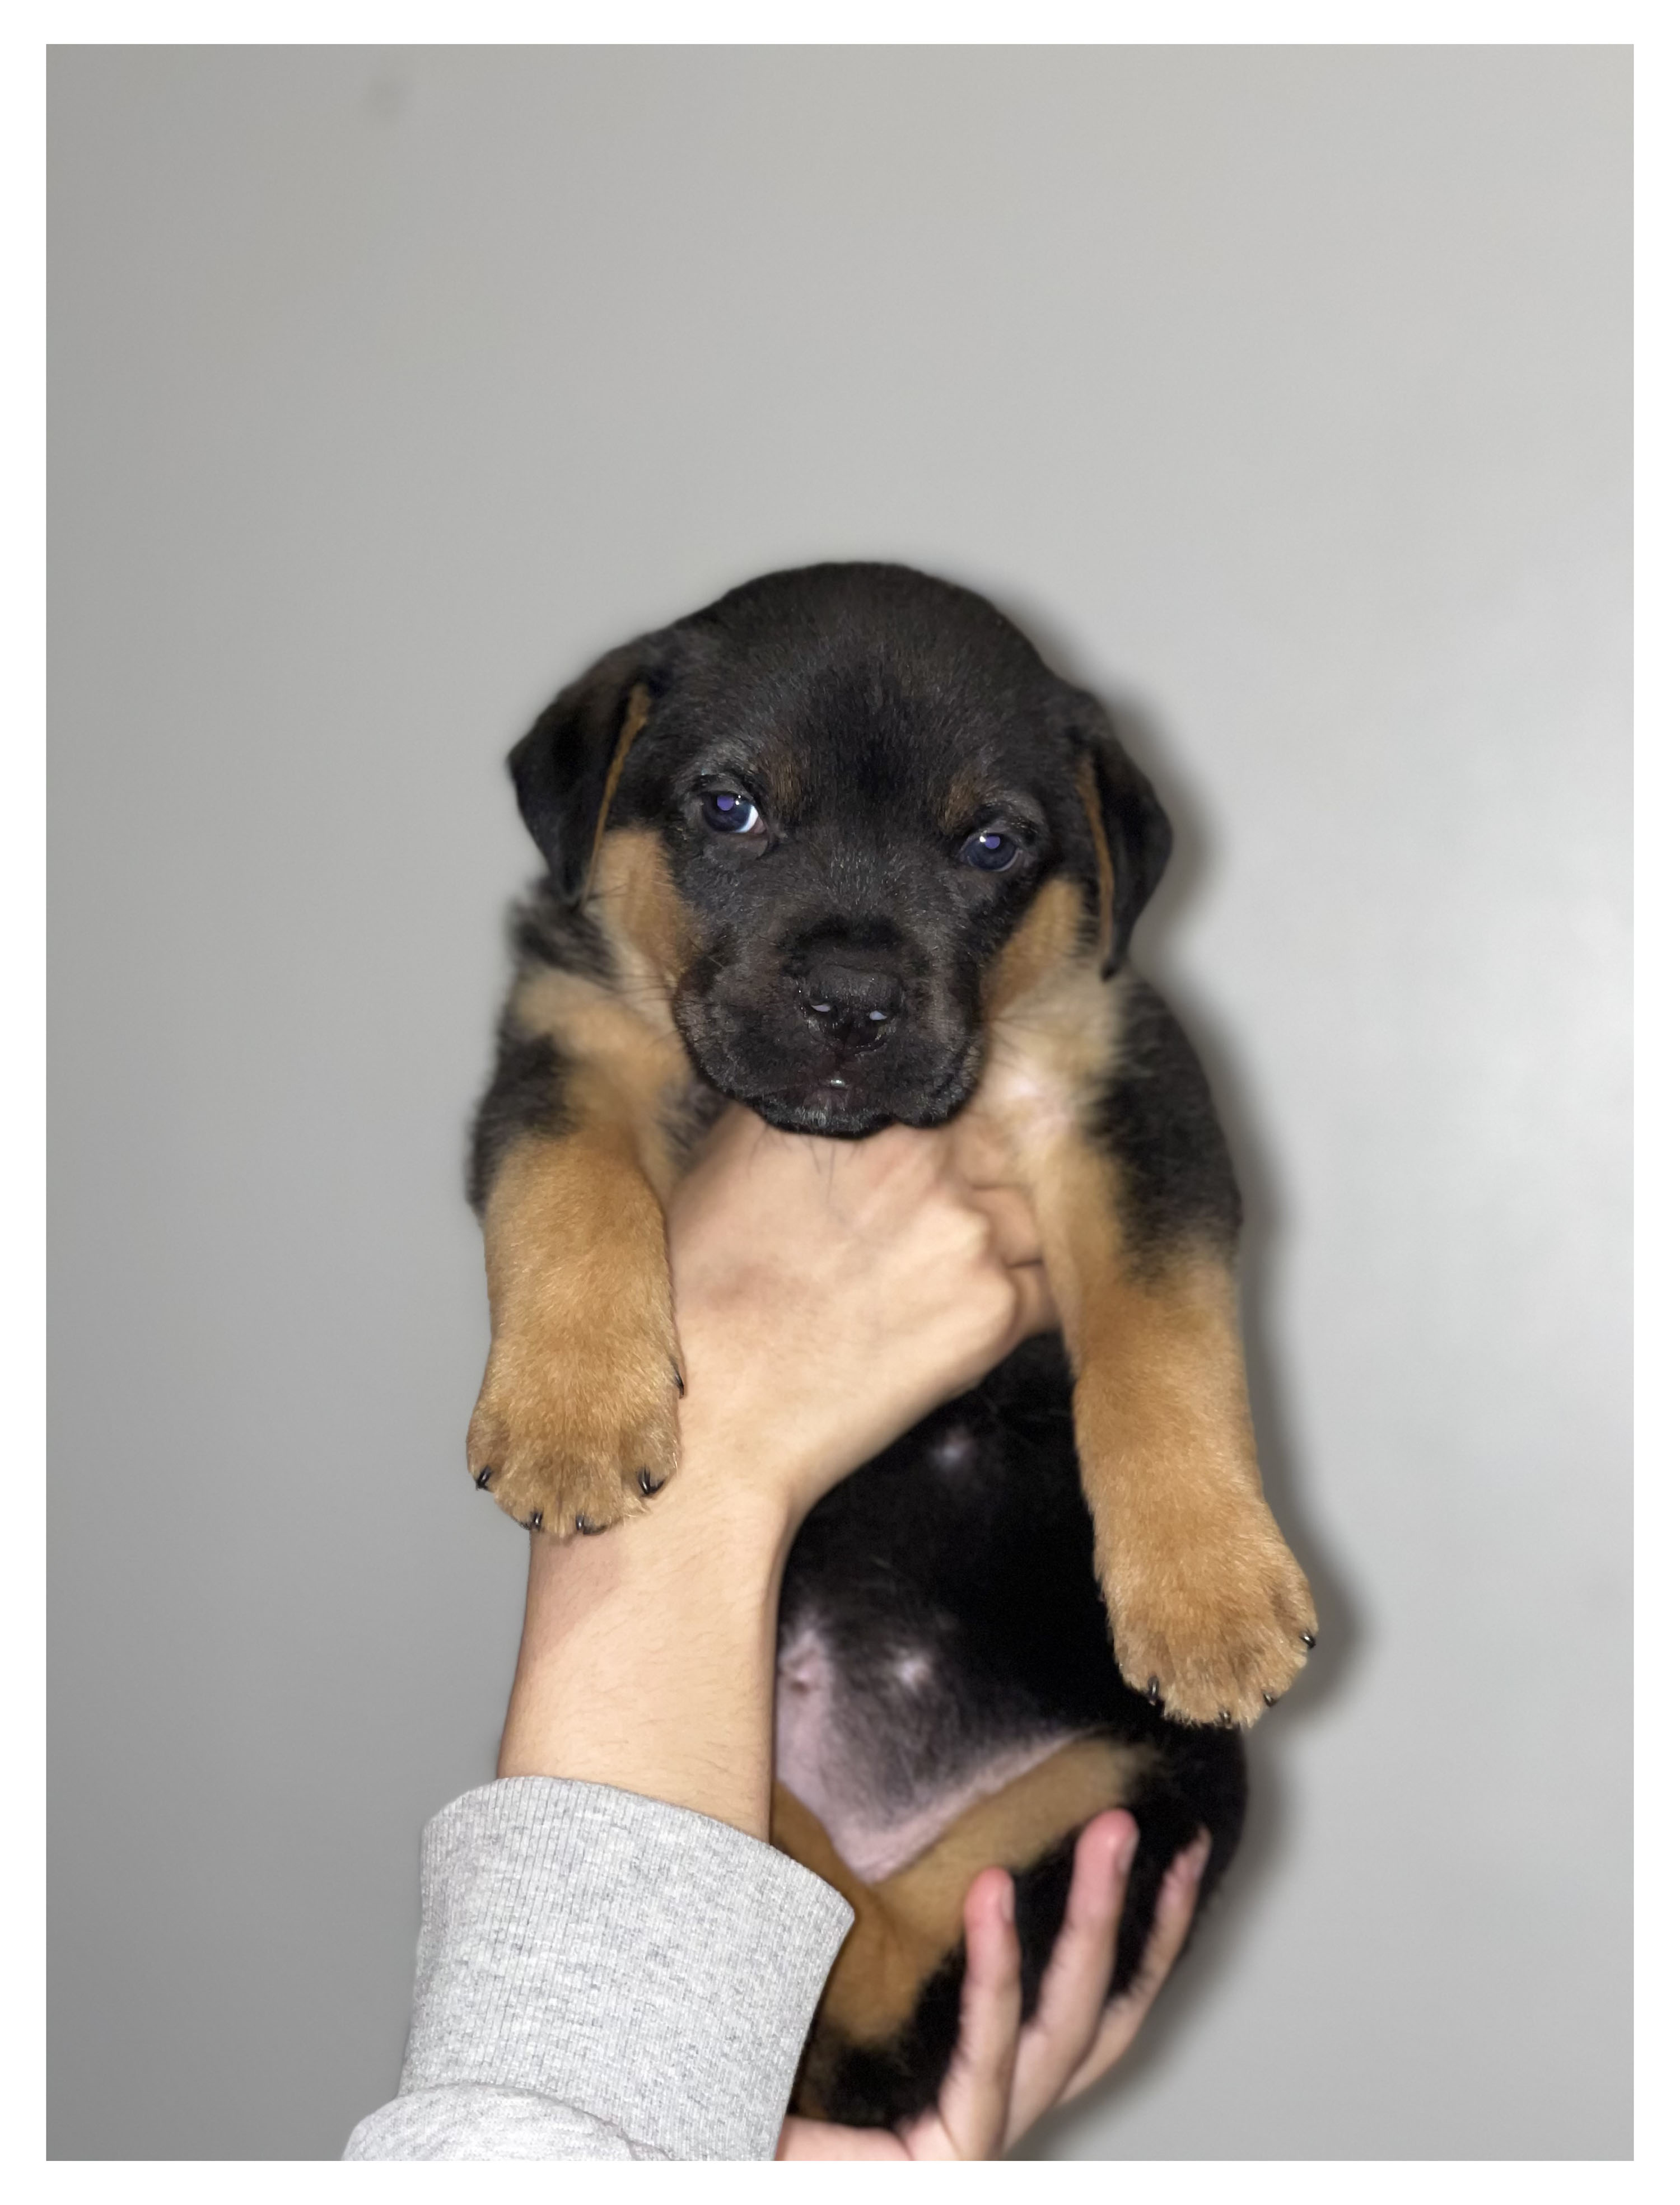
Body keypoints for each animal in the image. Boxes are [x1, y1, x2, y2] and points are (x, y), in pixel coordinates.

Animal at [465, 560, 1314, 2125]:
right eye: (729, 807)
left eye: (992, 843)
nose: (854, 1002)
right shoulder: (563, 1041)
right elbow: (569, 1197)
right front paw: (573, 1416)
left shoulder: (1129, 1095)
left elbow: (1160, 1341)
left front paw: (1210, 1594)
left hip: (1139, 1794)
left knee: (899, 1984)